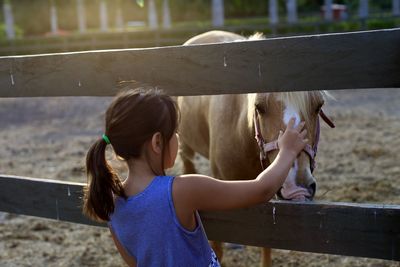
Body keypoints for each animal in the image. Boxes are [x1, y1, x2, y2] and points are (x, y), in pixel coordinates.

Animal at [178, 30, 334, 267]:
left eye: (318, 106)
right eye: (259, 107)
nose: (296, 188)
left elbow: (265, 243)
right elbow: (217, 245)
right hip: (185, 146)